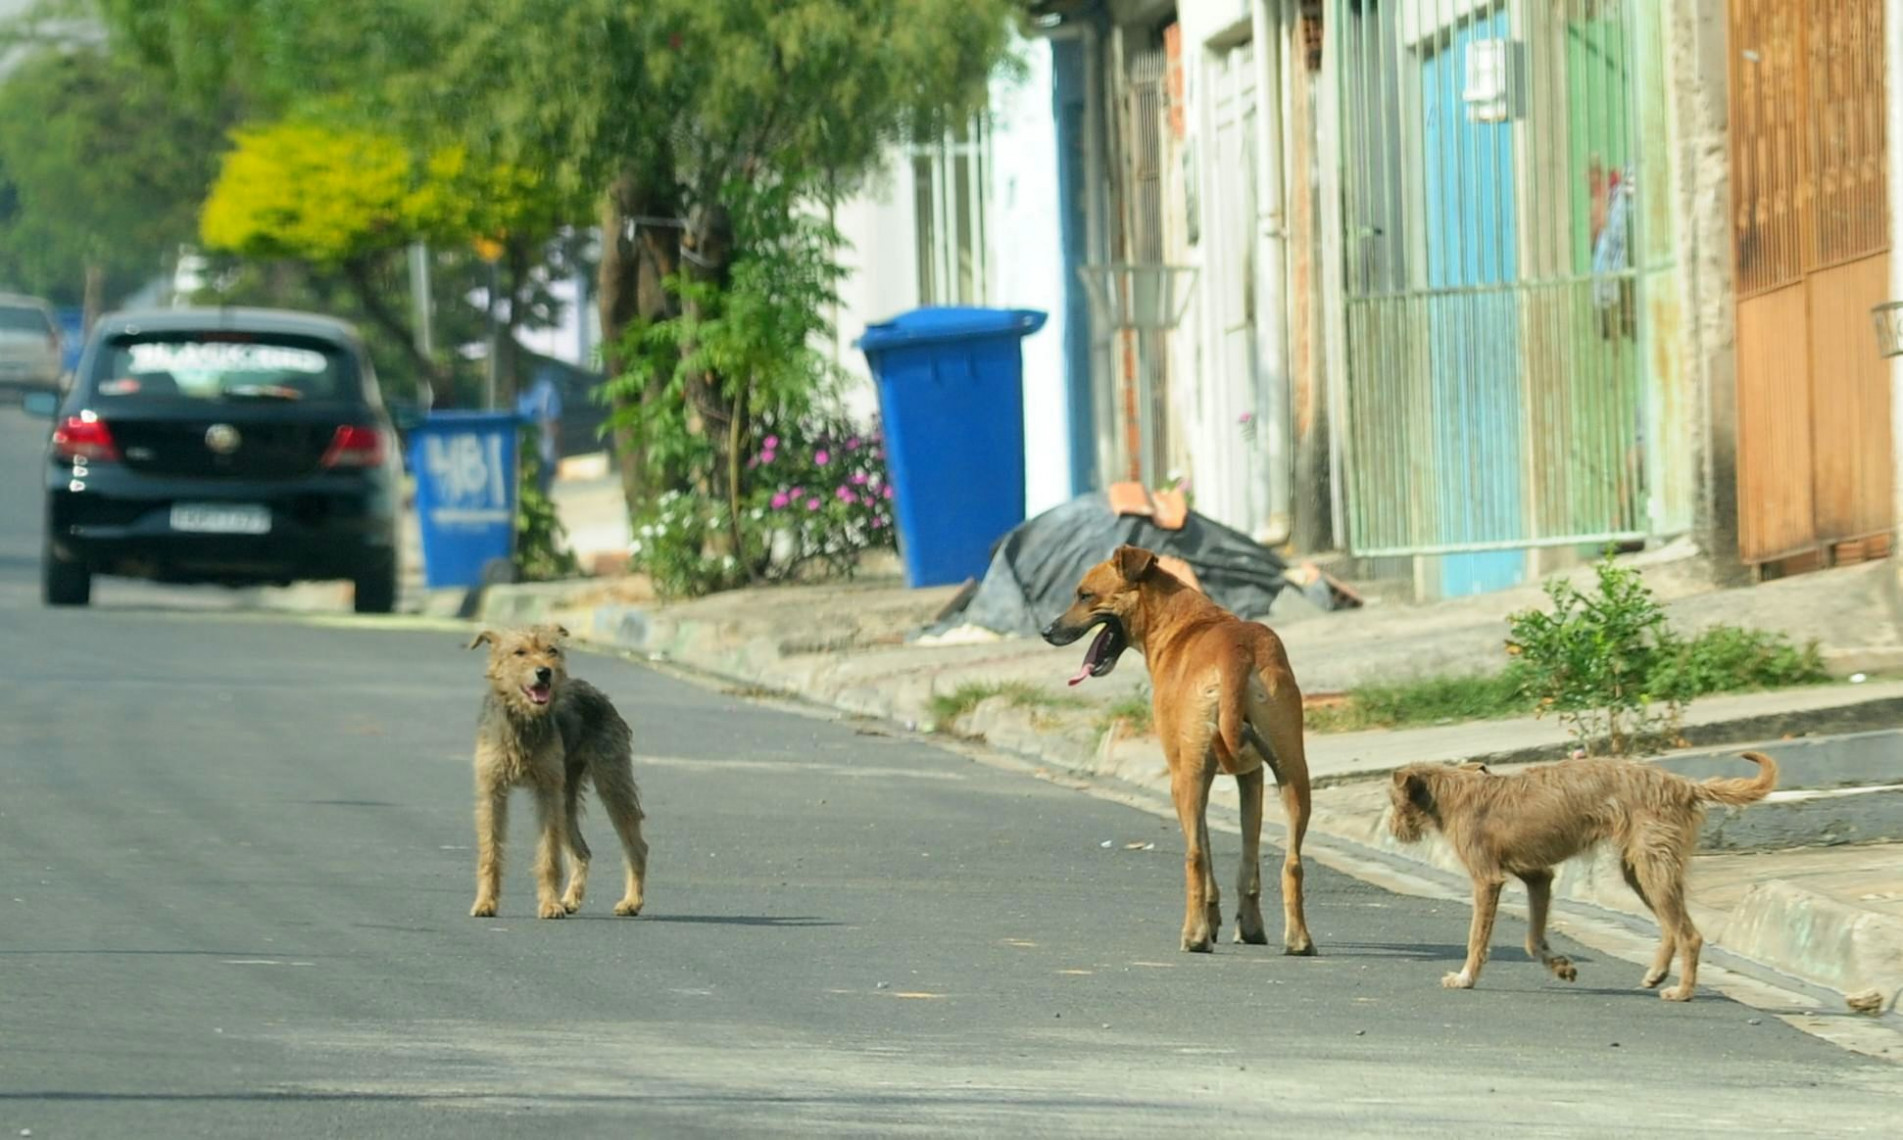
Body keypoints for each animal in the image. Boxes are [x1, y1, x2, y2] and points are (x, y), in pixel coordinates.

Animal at [464, 628, 650, 924]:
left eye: (551, 650)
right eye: (519, 652)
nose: (545, 672)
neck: (524, 719)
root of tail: (594, 690)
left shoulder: (546, 792)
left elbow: (548, 856)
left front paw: (549, 906)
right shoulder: (492, 792)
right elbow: (490, 852)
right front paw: (485, 903)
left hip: (611, 785)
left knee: (637, 847)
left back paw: (631, 902)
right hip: (567, 797)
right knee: (582, 850)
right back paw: (570, 899)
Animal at [1042, 544, 1309, 955]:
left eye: (1084, 595)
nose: (1046, 631)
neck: (1181, 622)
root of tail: (1238, 650)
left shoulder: (1188, 777)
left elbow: (1206, 859)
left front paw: (1211, 923)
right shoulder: (1251, 778)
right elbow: (1247, 868)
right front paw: (1248, 927)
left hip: (1187, 782)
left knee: (1194, 858)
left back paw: (1194, 935)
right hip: (1293, 772)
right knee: (1292, 863)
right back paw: (1298, 940)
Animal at [1385, 753, 1781, 1004]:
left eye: (1391, 800)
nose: (1390, 830)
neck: (1453, 792)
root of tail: (1682, 784)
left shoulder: (1487, 880)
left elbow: (1476, 940)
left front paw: (1464, 978)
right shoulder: (1538, 877)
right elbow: (1533, 941)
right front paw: (1560, 967)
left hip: (1652, 865)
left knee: (1689, 934)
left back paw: (1683, 992)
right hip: (1640, 870)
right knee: (1671, 926)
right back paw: (1657, 973)